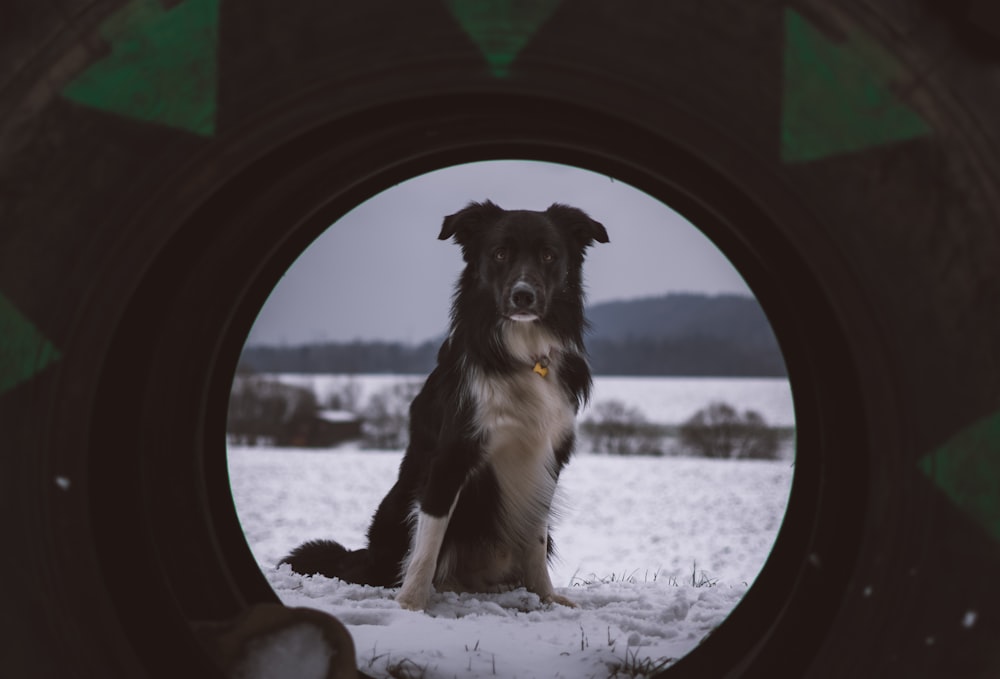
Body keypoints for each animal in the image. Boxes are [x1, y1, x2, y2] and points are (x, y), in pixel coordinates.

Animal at [284, 201, 608, 612]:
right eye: (499, 253)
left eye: (549, 255)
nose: (523, 296)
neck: (521, 351)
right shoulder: (452, 455)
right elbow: (429, 541)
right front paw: (411, 604)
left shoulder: (547, 457)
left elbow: (534, 537)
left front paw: (546, 596)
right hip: (395, 508)